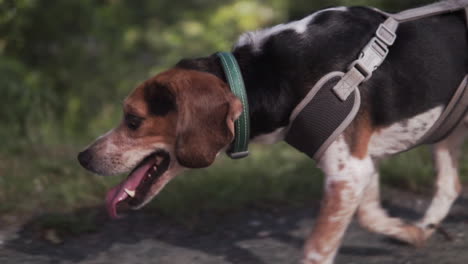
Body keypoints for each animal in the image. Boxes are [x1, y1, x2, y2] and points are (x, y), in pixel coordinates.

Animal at [78, 5, 466, 262]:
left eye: (132, 120)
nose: (82, 157)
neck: (266, 73)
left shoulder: (348, 173)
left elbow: (317, 249)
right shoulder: (360, 165)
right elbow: (370, 215)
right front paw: (411, 233)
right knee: (450, 185)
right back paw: (429, 223)